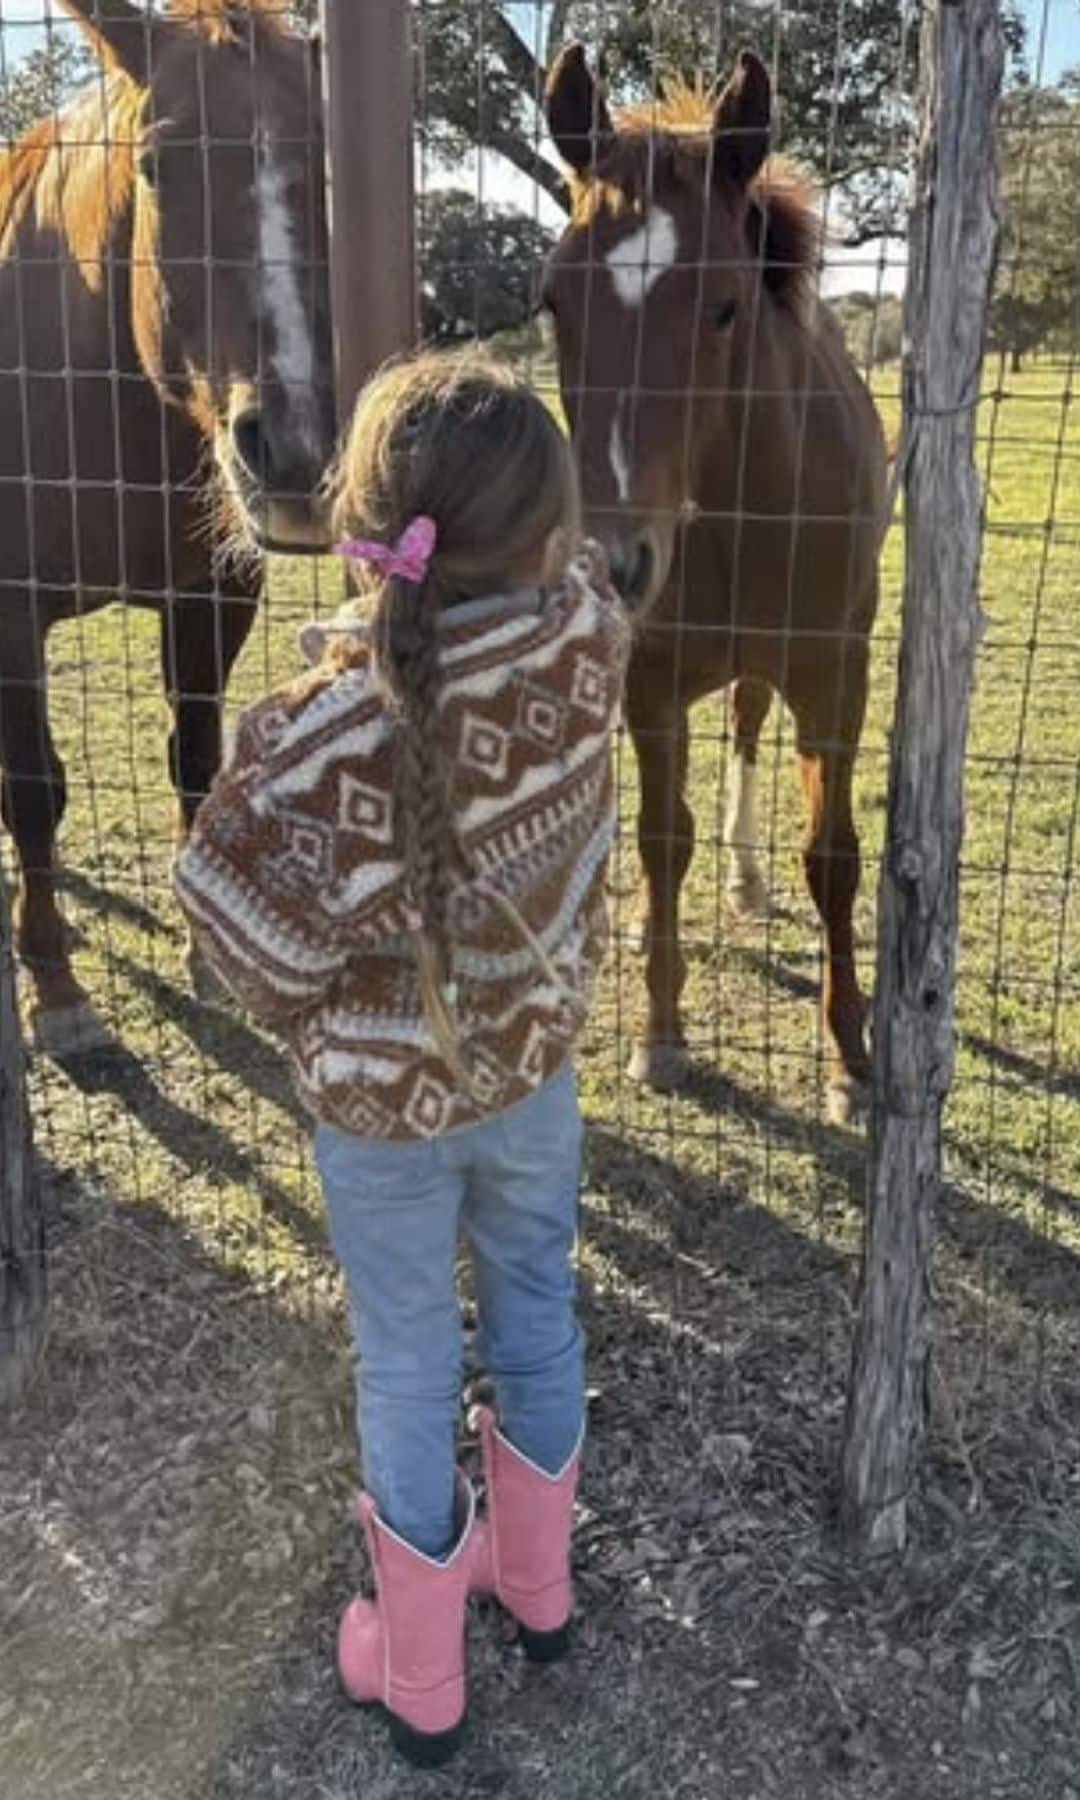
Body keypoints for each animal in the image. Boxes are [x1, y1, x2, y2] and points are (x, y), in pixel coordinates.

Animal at [0, 0, 333, 1051]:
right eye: (155, 164)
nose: (296, 448)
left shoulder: (213, 594)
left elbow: (195, 756)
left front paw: (207, 952)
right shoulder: (8, 613)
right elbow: (35, 788)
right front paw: (56, 989)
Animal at [540, 42, 885, 1123]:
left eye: (726, 305)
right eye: (552, 302)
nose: (614, 561)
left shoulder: (835, 675)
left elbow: (832, 857)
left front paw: (850, 1060)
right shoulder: (650, 683)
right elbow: (661, 840)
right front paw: (660, 1032)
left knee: (745, 727)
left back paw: (745, 880)